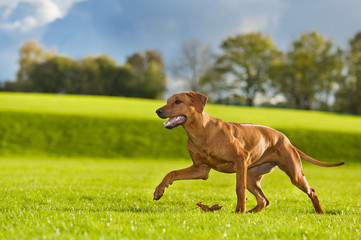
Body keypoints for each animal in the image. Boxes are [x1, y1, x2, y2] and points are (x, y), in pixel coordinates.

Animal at [153, 92, 344, 214]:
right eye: (167, 101)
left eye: (178, 101)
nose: (158, 111)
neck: (202, 132)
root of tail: (287, 140)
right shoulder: (201, 169)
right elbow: (172, 172)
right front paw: (159, 190)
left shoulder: (240, 160)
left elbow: (239, 188)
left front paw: (240, 210)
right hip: (252, 176)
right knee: (264, 200)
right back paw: (252, 213)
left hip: (294, 173)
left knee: (312, 191)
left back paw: (320, 212)